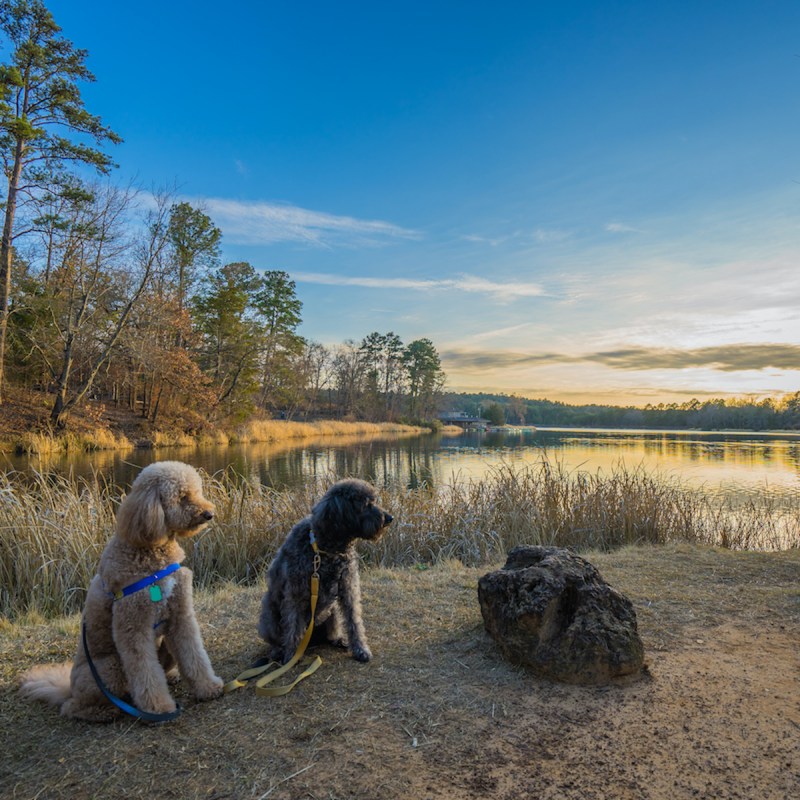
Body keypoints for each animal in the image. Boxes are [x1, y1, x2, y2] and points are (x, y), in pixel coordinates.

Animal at [258, 482, 392, 664]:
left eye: (374, 501)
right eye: (366, 504)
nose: (390, 518)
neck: (325, 551)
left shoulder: (348, 588)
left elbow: (354, 620)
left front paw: (360, 649)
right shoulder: (295, 595)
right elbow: (293, 625)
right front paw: (291, 655)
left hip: (332, 611)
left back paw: (338, 639)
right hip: (269, 614)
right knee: (278, 637)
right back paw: (279, 650)